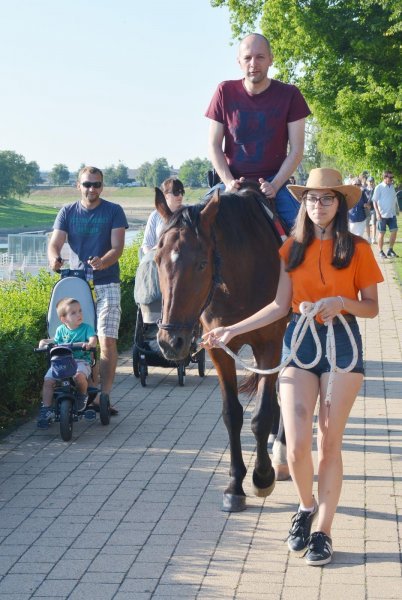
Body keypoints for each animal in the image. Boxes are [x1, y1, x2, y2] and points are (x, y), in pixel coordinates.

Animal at [155, 184, 288, 510]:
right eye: (157, 261)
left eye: (201, 263)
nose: (170, 341)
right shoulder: (218, 350)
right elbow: (232, 414)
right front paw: (234, 485)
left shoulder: (269, 344)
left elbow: (260, 414)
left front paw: (262, 476)